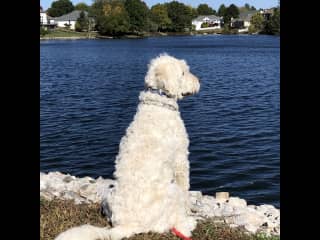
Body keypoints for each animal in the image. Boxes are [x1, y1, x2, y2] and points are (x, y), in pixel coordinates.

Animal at [55, 54, 200, 240]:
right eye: (183, 72)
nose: (199, 82)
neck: (158, 101)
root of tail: (126, 225)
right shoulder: (181, 159)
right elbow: (185, 188)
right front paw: (189, 209)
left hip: (109, 196)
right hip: (171, 190)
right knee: (172, 224)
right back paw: (188, 223)